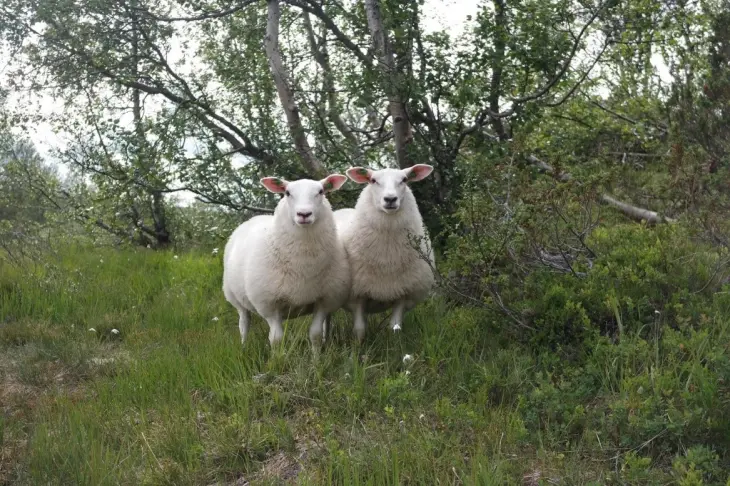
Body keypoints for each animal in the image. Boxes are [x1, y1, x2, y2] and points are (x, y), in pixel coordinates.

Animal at [219, 173, 350, 352]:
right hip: (235, 297)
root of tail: (255, 217)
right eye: (287, 193)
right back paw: (244, 347)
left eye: (321, 191)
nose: (304, 214)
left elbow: (315, 335)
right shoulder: (269, 305)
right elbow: (276, 339)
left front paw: (317, 358)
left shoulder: (325, 300)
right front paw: (277, 358)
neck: (304, 265)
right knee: (244, 323)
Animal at [332, 165, 436, 340]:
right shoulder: (357, 294)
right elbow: (359, 329)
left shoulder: (404, 292)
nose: (390, 199)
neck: (387, 258)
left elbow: (395, 328)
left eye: (404, 180)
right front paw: (358, 347)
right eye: (373, 180)